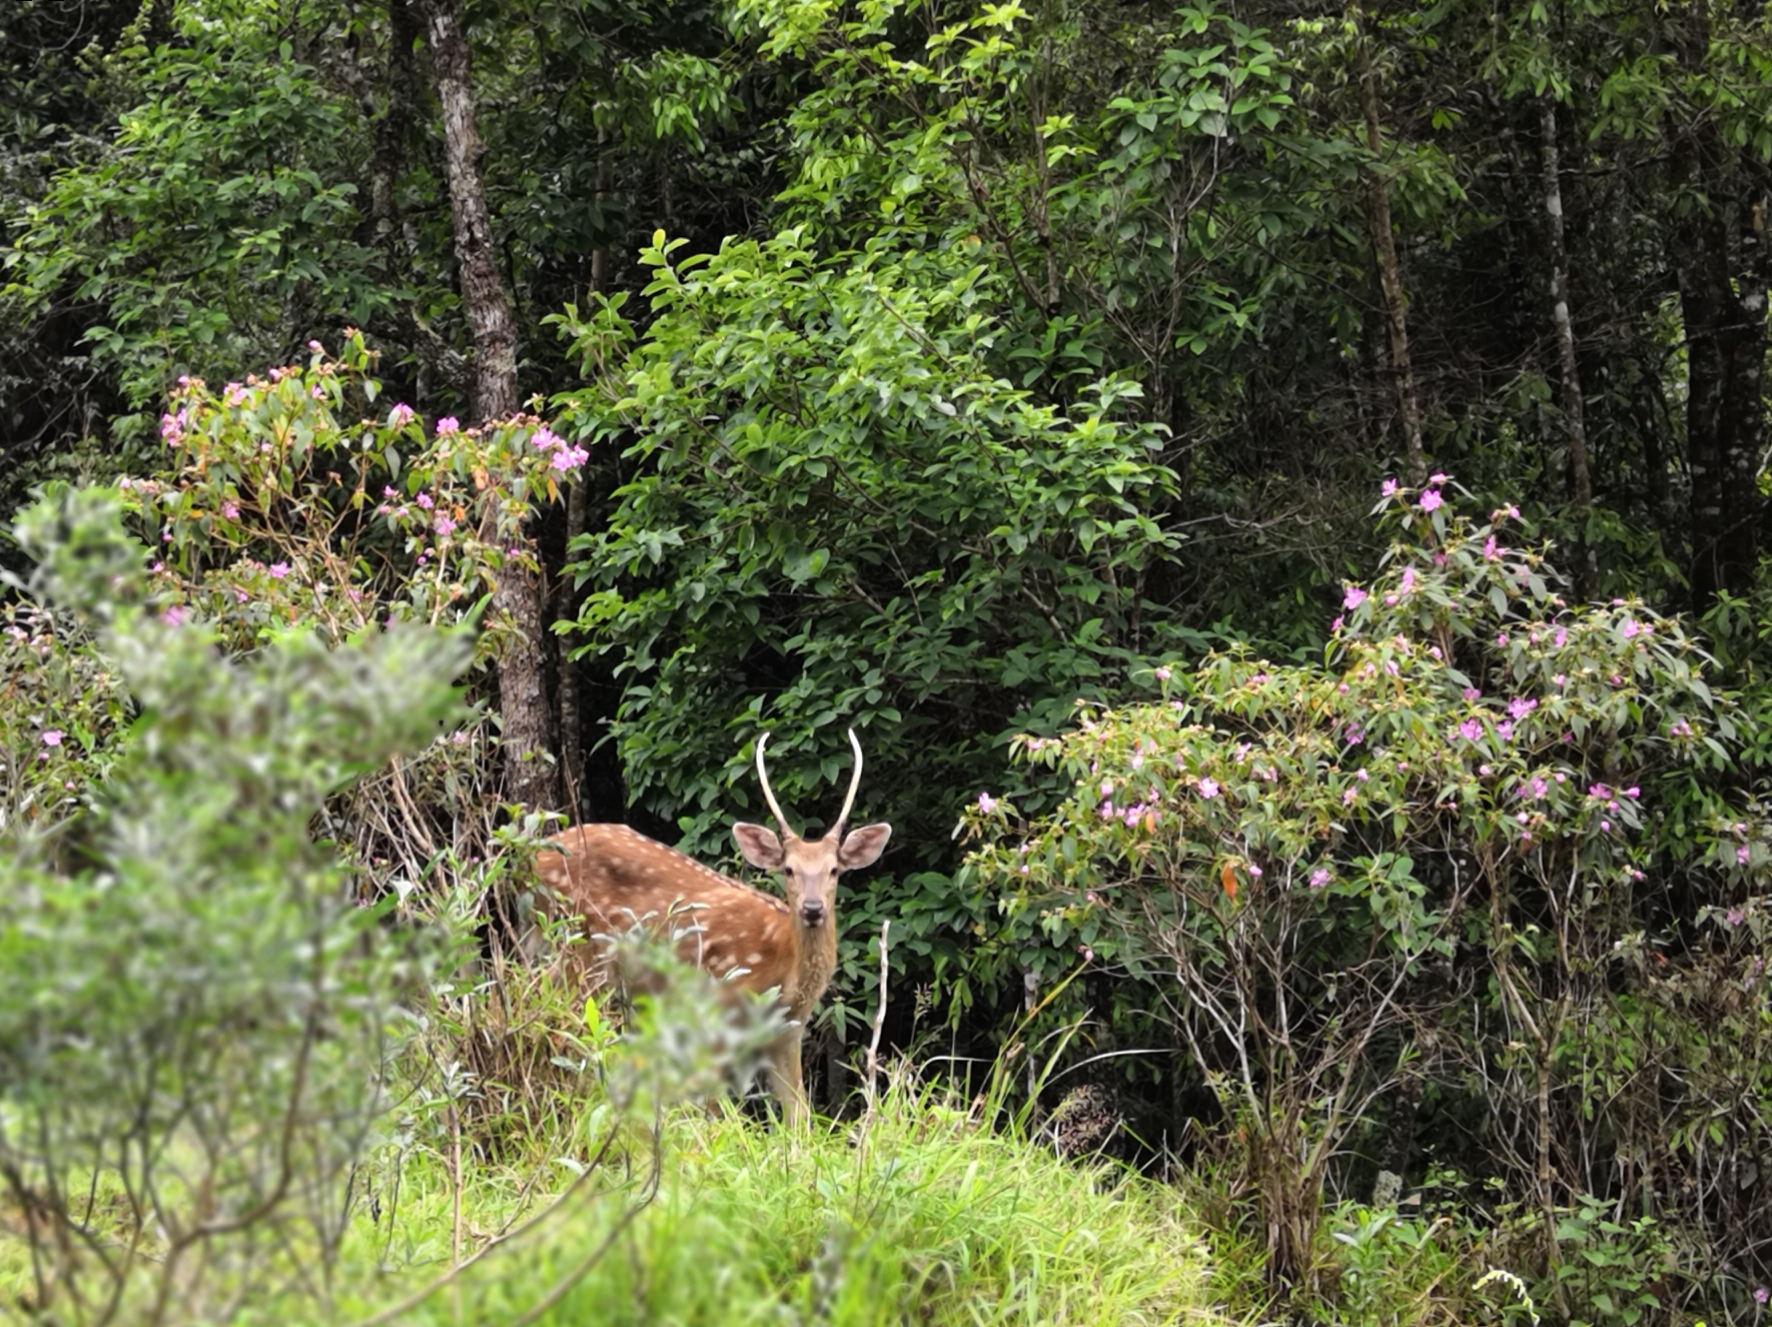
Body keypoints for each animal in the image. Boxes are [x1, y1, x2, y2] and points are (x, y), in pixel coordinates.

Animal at [524, 729, 886, 1126]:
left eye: (834, 870)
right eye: (788, 869)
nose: (812, 908)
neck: (782, 969)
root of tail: (534, 856)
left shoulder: (787, 1032)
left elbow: (799, 1116)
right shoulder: (716, 1011)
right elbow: (715, 1109)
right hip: (579, 947)